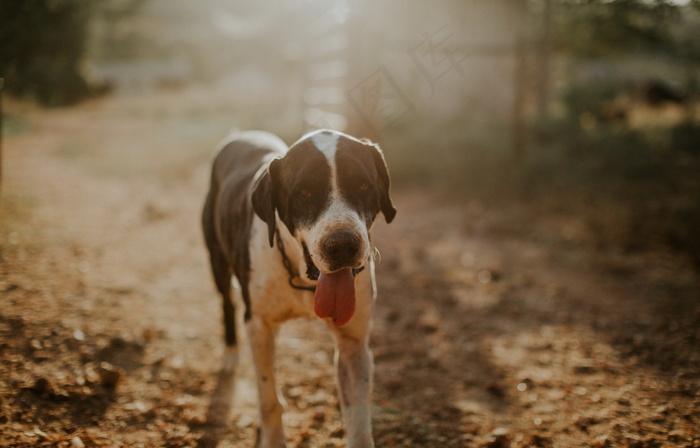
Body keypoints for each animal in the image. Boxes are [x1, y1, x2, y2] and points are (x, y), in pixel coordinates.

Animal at [202, 128, 396, 446]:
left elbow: (358, 418)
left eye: (363, 185)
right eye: (304, 192)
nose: (342, 245)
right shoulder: (258, 324)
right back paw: (230, 353)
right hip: (217, 261)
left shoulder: (353, 344)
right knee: (227, 304)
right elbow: (268, 400)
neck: (305, 280)